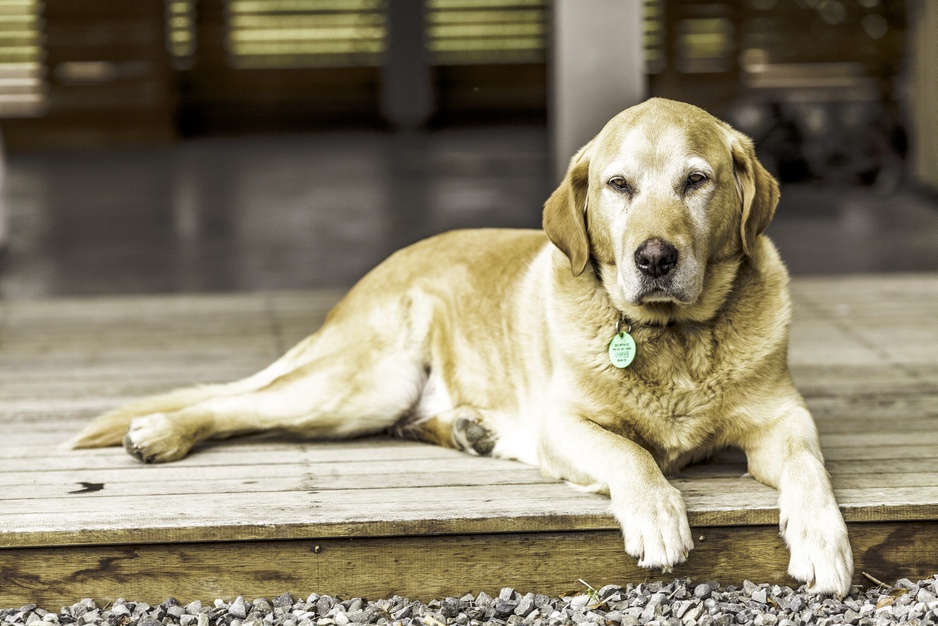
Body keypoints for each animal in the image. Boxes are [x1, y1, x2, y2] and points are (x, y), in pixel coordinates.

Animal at [69, 98, 852, 596]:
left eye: (696, 181)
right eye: (618, 186)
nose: (655, 258)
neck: (676, 338)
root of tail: (373, 275)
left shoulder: (785, 418)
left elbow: (810, 470)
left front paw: (823, 541)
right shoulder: (564, 425)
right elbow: (632, 455)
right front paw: (659, 514)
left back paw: (473, 429)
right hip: (362, 384)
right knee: (241, 406)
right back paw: (160, 432)